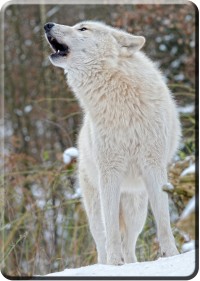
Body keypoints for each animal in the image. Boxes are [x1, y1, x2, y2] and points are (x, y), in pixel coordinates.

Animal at [44, 20, 181, 264]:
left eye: (83, 29)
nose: (47, 24)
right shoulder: (109, 172)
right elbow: (112, 232)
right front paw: (115, 264)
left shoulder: (153, 166)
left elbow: (164, 221)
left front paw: (171, 255)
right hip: (96, 208)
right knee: (102, 240)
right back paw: (107, 263)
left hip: (137, 210)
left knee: (130, 245)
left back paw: (132, 264)